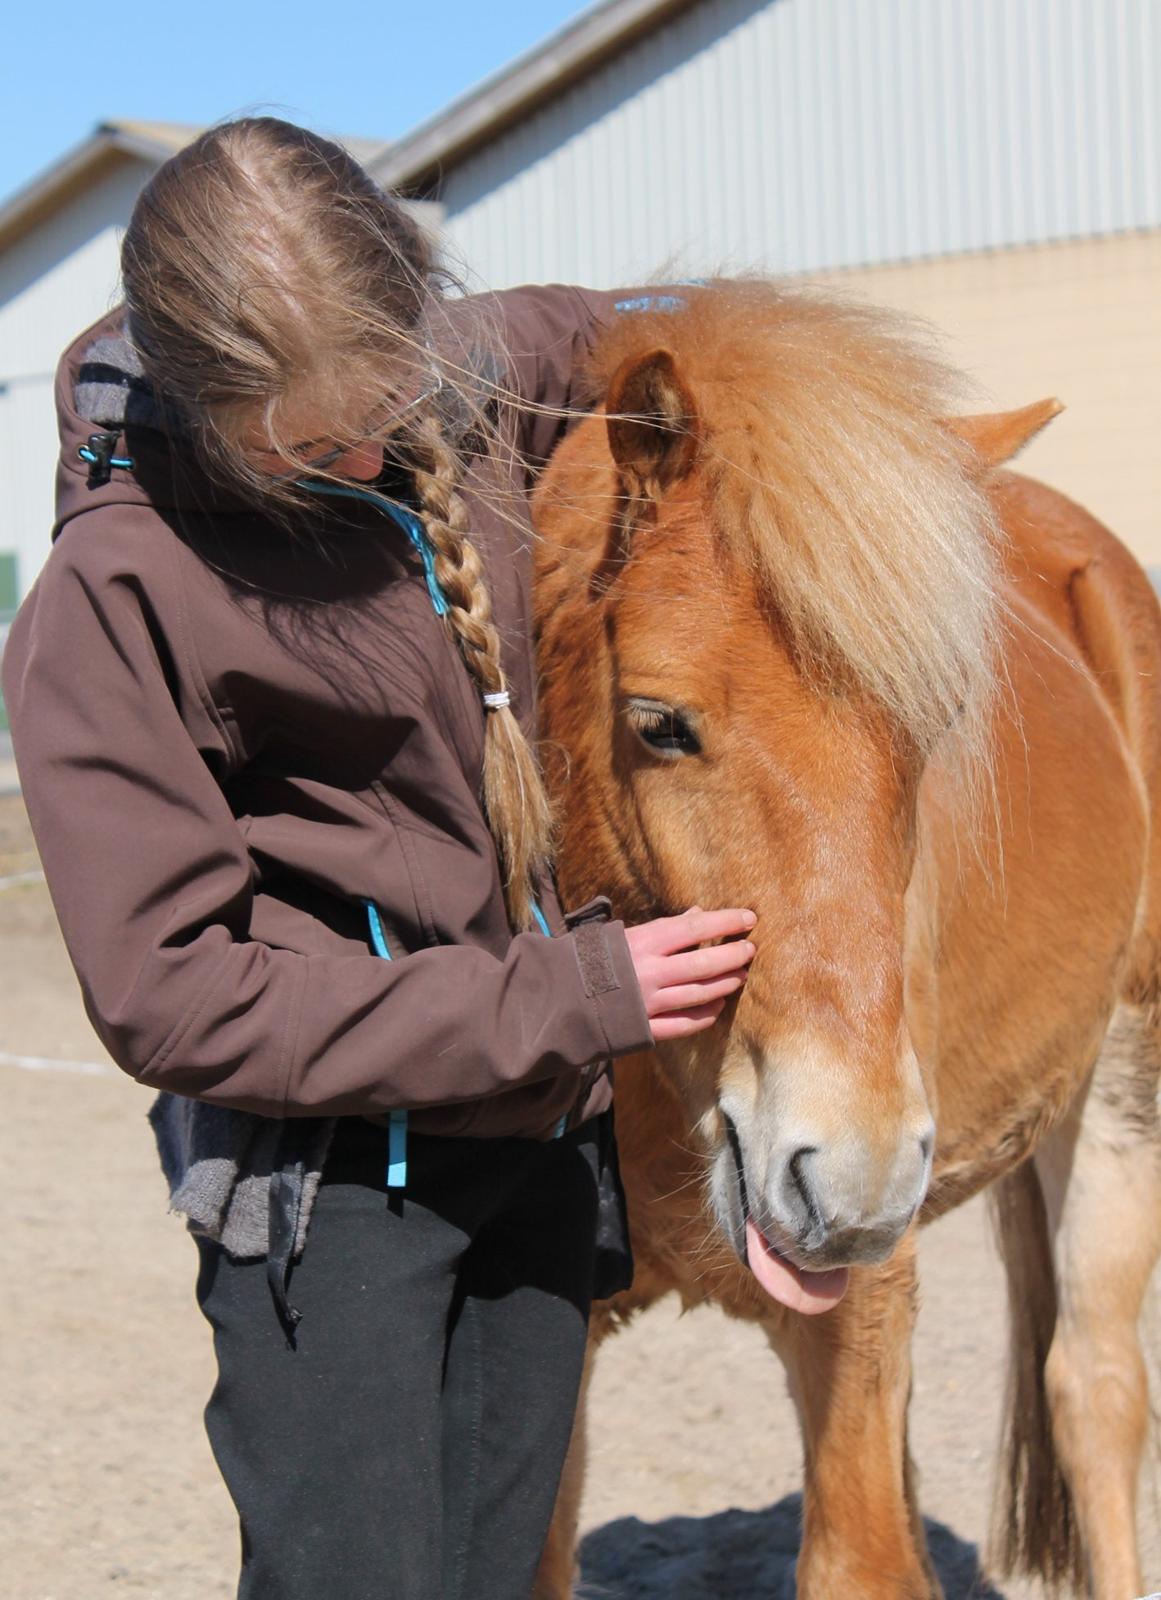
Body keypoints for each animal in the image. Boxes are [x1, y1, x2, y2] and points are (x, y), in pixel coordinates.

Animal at [530, 284, 1161, 1600]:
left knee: (1094, 1389)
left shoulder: (855, 1315)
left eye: (938, 720)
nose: (853, 1177)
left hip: (1123, 1076)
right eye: (656, 722)